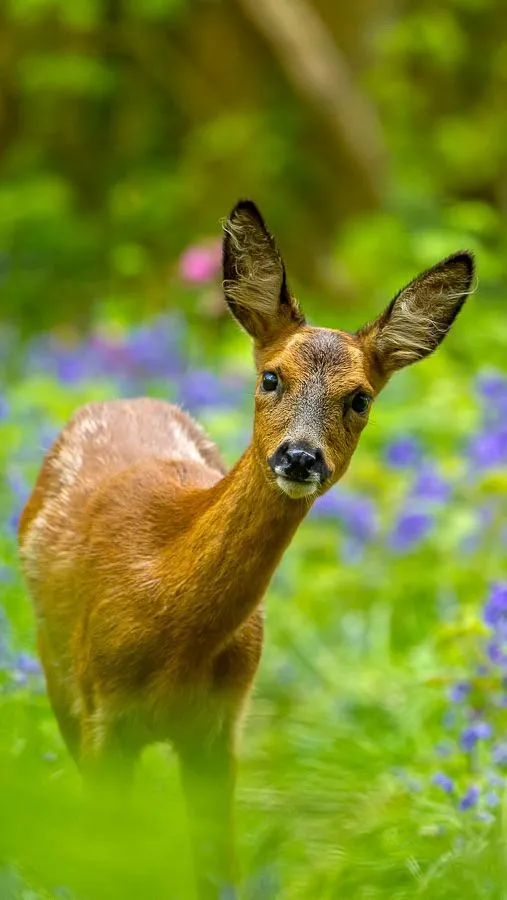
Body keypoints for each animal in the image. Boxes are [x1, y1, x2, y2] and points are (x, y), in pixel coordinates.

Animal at [18, 199, 474, 899]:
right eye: (270, 377)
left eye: (360, 398)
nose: (300, 456)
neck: (169, 619)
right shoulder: (103, 716)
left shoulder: (220, 729)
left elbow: (216, 870)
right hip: (57, 670)